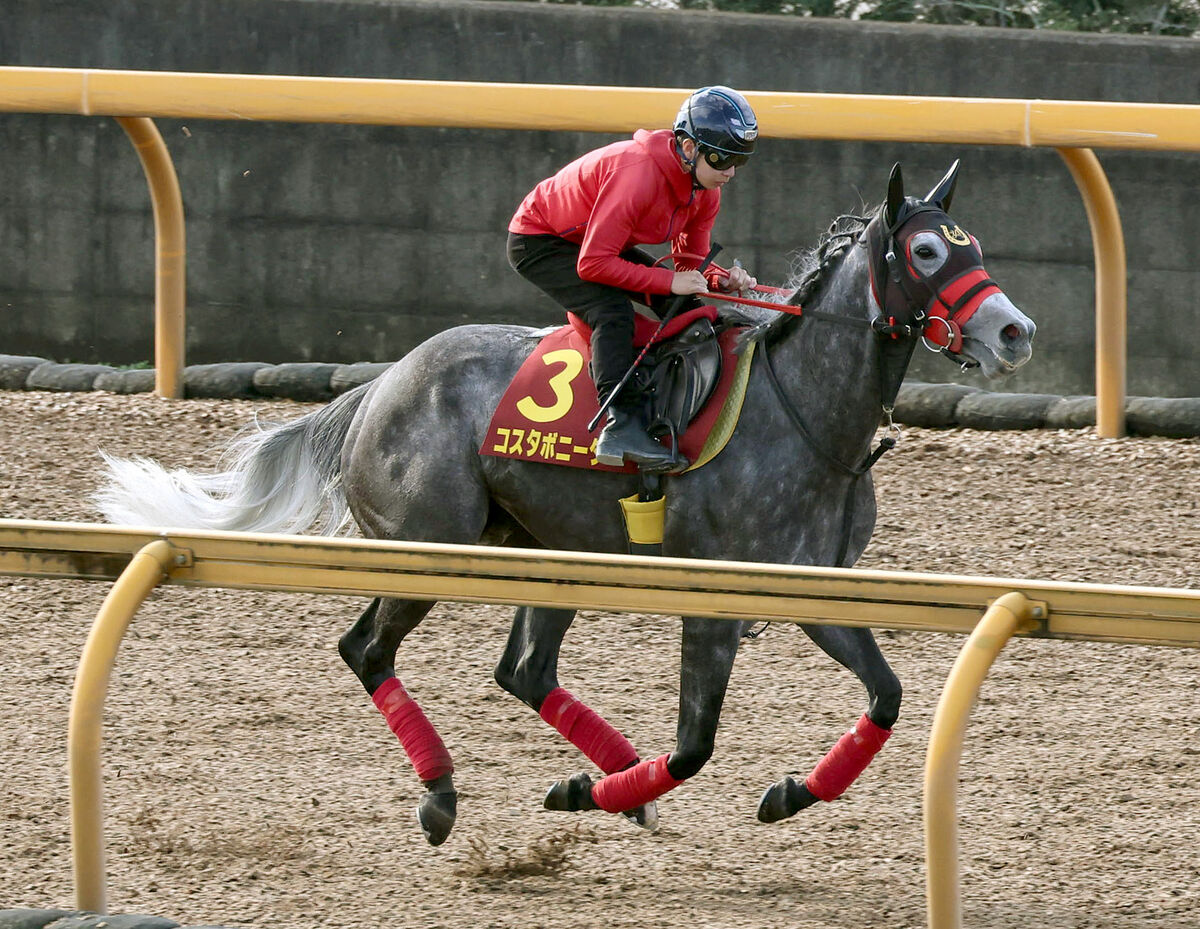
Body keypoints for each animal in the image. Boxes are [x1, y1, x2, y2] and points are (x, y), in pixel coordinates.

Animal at [98, 162, 1032, 849]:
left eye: (971, 244)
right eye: (924, 253)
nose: (1014, 332)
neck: (802, 406)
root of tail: (376, 389)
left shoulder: (812, 588)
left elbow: (888, 696)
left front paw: (788, 791)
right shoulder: (715, 598)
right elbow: (695, 744)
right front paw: (615, 788)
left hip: (550, 553)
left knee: (524, 669)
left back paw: (612, 783)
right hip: (427, 548)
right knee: (367, 648)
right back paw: (444, 794)